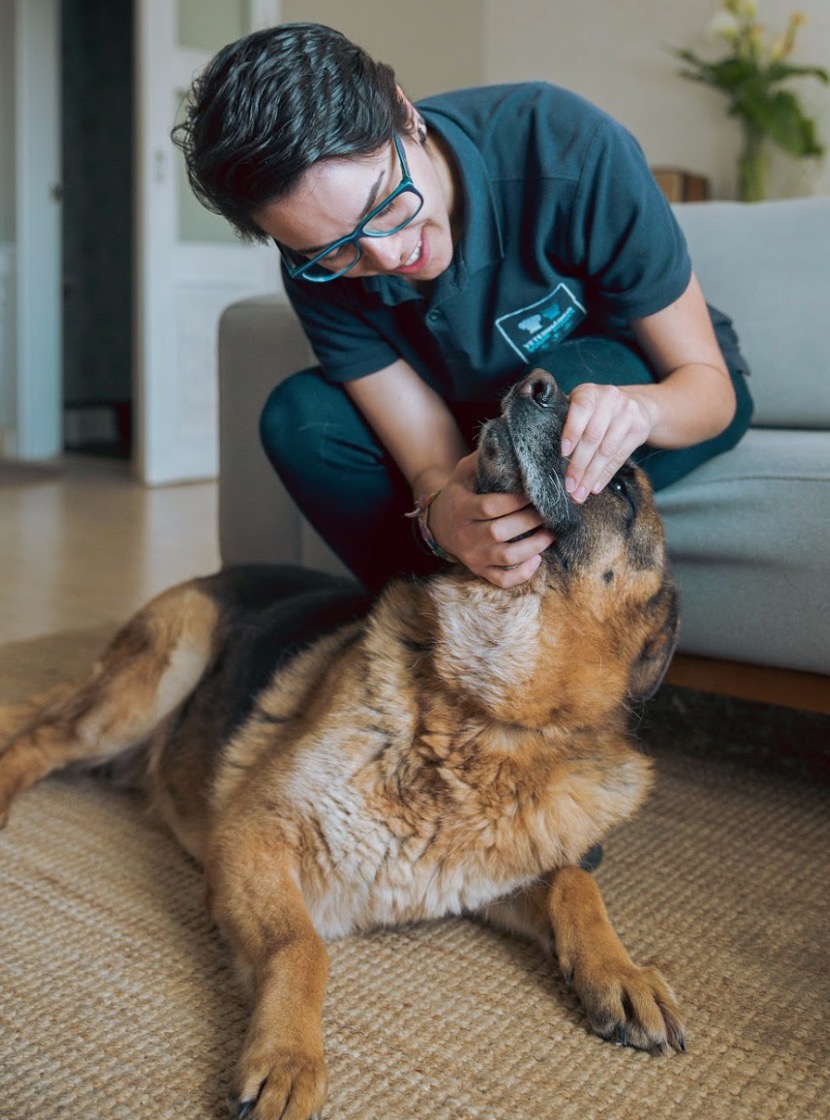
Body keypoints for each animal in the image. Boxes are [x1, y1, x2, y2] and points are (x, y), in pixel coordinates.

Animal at [0, 369, 681, 1120]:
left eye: (625, 491)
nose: (533, 382)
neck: (481, 713)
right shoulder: (252, 836)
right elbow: (303, 949)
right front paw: (289, 1059)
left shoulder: (489, 879)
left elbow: (572, 881)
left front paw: (621, 969)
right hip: (153, 680)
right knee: (38, 738)